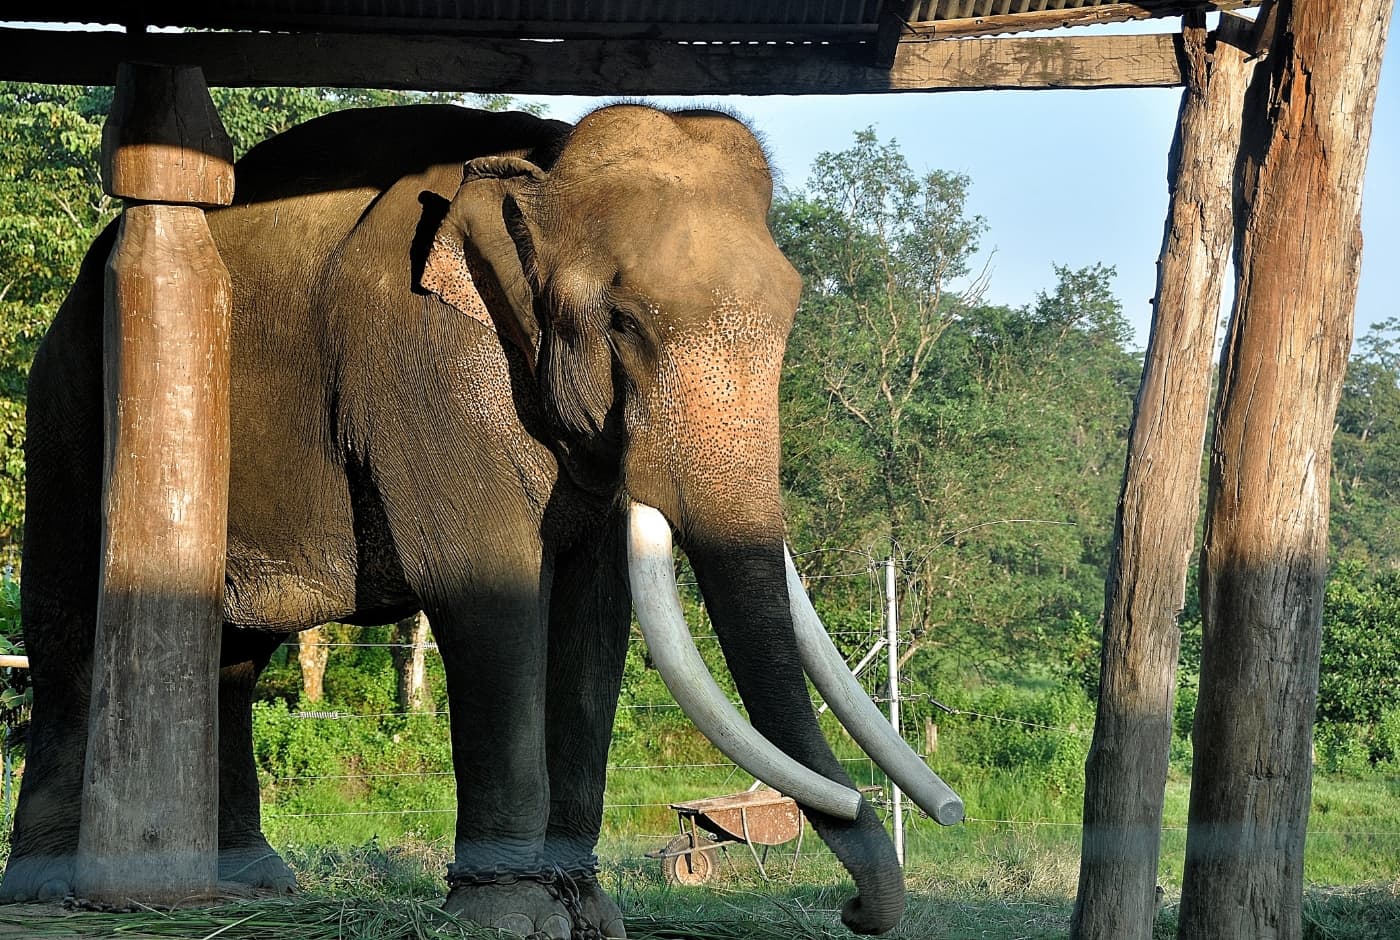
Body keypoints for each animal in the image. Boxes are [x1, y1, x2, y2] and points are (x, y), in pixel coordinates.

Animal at [0, 100, 952, 935]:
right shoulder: (429, 363)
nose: (854, 911)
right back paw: (55, 887)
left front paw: (588, 912)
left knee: (234, 654)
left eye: (790, 315)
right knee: (69, 632)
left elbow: (593, 615)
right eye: (624, 323)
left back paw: (255, 885)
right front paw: (512, 916)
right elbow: (489, 592)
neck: (543, 160)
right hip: (71, 411)